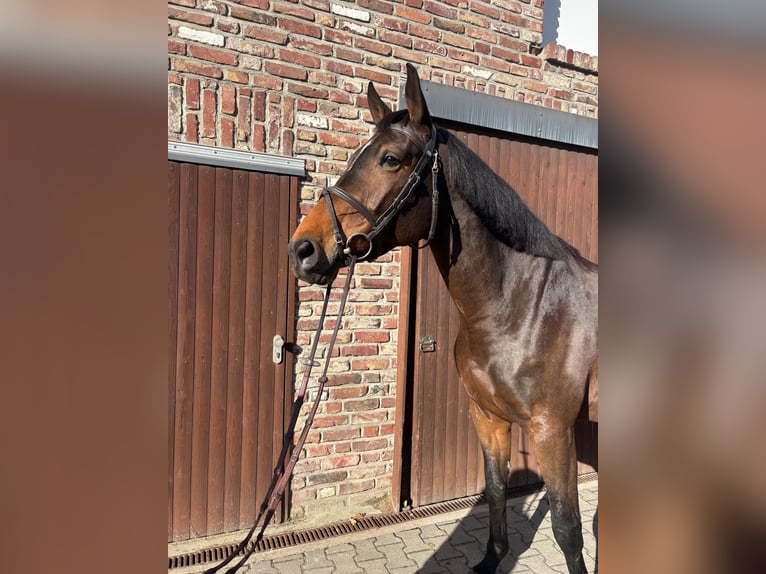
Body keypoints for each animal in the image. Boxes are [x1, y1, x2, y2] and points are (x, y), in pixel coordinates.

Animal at [287, 63, 598, 574]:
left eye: (390, 159)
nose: (303, 250)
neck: (519, 307)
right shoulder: (488, 417)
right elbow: (495, 492)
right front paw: (491, 559)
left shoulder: (552, 430)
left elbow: (568, 529)